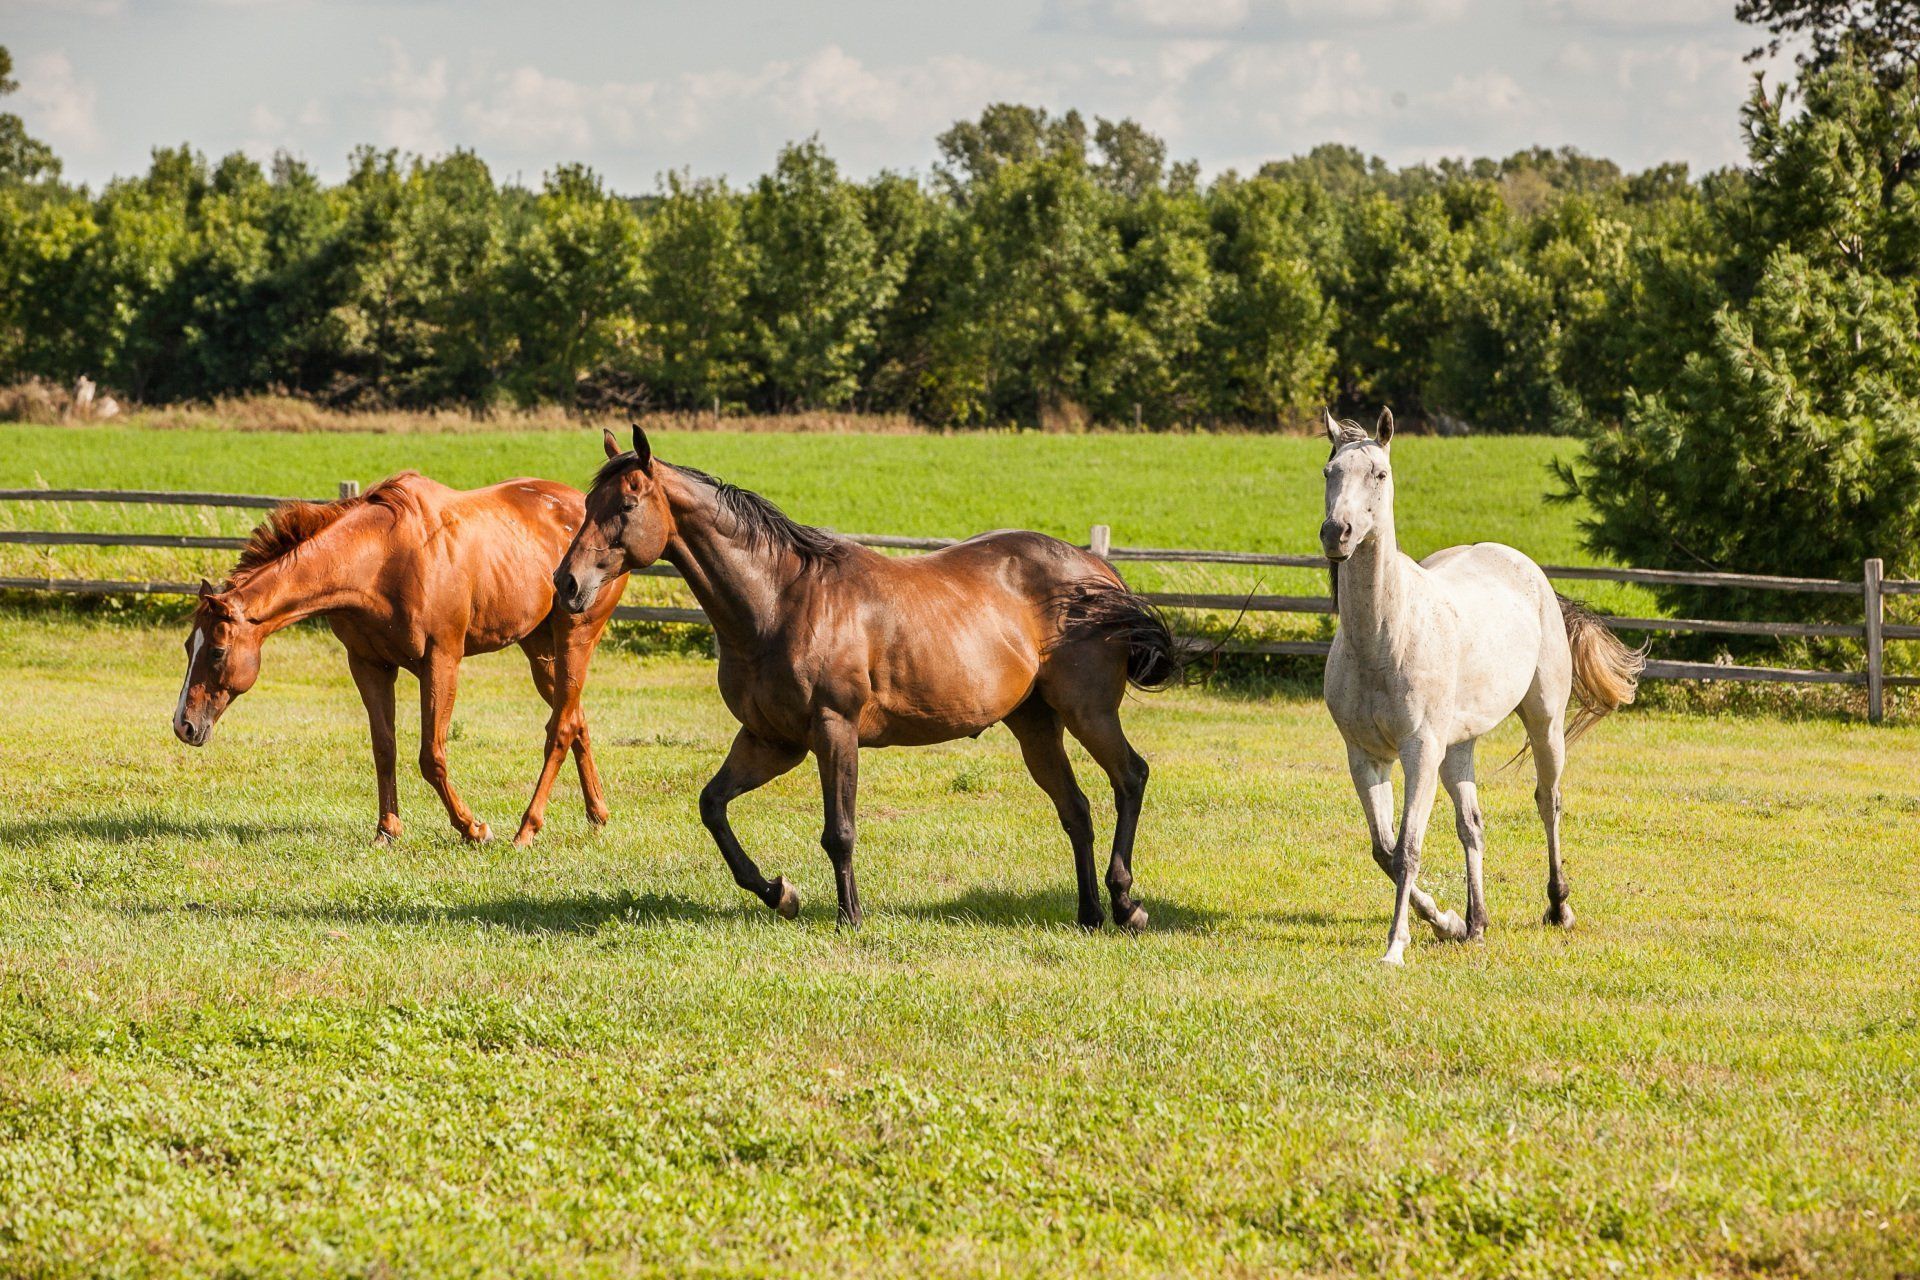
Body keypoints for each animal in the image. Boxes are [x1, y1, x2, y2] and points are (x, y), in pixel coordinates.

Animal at [172, 472, 628, 846]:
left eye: (216, 650)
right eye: (188, 647)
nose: (184, 725)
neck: (382, 560)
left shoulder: (441, 662)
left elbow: (431, 756)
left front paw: (473, 828)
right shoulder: (368, 666)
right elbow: (384, 748)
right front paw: (387, 830)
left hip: (575, 638)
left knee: (563, 724)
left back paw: (530, 828)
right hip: (539, 651)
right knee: (575, 719)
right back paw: (597, 814)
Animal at [549, 424, 1180, 930]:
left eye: (626, 505)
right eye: (587, 501)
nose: (567, 583)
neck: (779, 601)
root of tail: (1098, 571)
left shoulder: (835, 729)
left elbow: (840, 830)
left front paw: (848, 917)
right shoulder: (771, 741)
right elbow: (713, 806)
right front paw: (779, 893)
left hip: (1087, 712)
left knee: (1130, 778)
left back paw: (1126, 905)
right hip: (1035, 723)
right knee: (1076, 809)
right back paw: (1090, 914)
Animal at [1318, 408, 1645, 965]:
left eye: (1379, 474)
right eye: (1329, 472)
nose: (1336, 532)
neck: (1385, 637)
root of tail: (1530, 571)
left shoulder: (1419, 752)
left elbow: (1407, 849)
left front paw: (1395, 947)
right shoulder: (1365, 756)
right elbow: (1384, 849)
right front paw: (1445, 921)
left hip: (1544, 724)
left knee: (1548, 800)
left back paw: (1558, 907)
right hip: (1459, 746)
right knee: (1471, 822)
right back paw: (1475, 922)